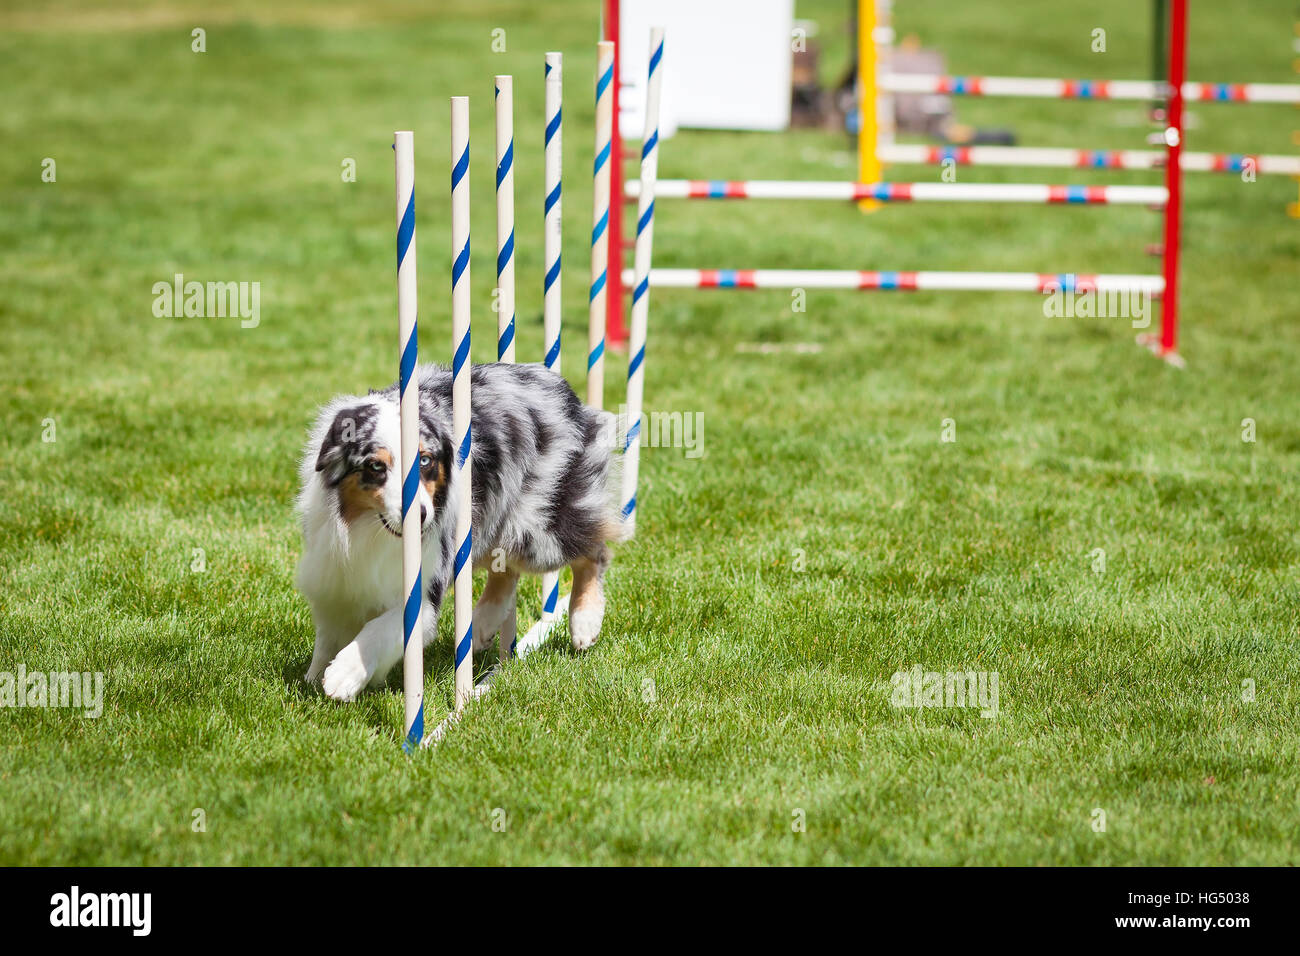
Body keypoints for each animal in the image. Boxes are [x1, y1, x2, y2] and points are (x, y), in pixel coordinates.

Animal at [301, 361, 631, 702]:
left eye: (425, 460)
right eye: (376, 466)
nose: (421, 516)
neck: (372, 528)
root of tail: (557, 383)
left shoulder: (425, 587)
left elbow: (381, 629)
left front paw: (345, 672)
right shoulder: (333, 573)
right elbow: (328, 631)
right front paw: (314, 676)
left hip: (537, 527)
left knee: (593, 551)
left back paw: (584, 622)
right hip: (484, 526)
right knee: (505, 568)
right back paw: (484, 623)